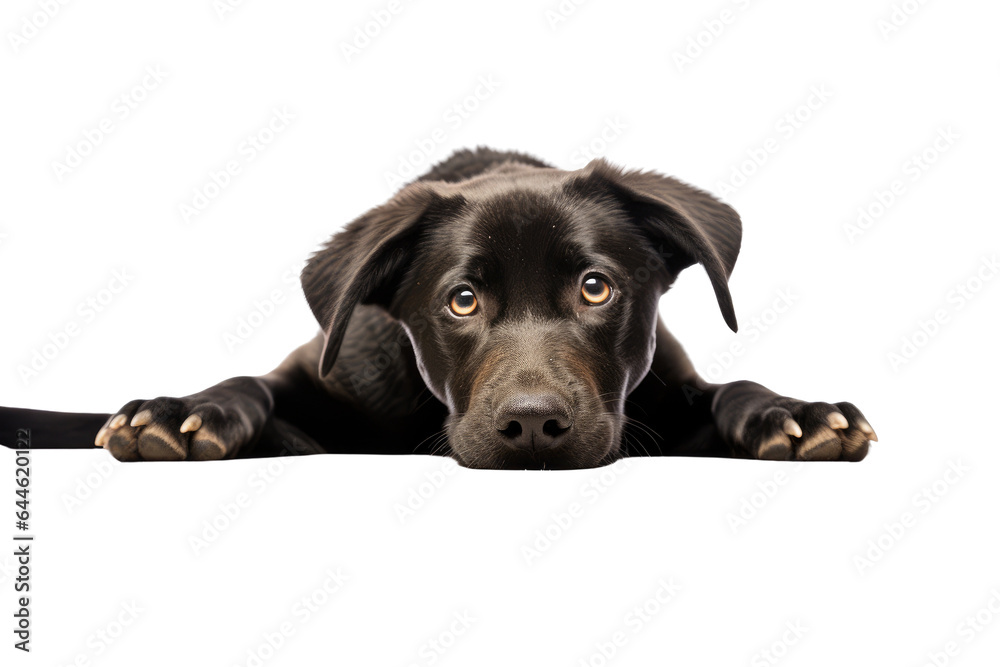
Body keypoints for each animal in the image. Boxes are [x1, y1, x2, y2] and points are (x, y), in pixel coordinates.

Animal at [0, 147, 876, 470]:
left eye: (596, 287)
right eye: (462, 299)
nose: (533, 424)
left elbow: (729, 392)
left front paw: (796, 412)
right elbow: (253, 387)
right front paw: (180, 410)